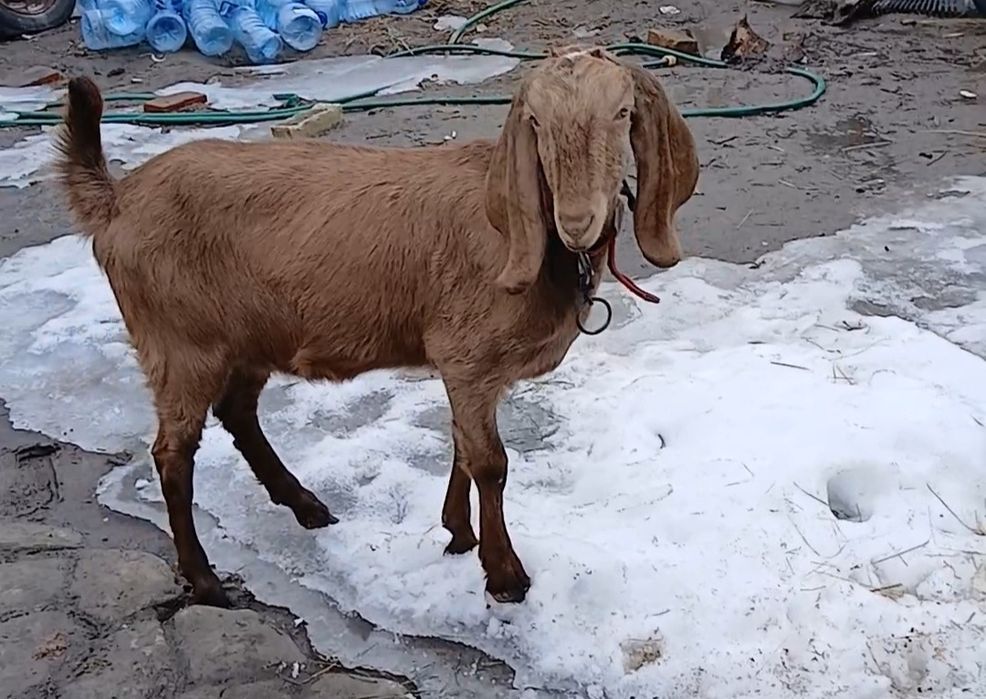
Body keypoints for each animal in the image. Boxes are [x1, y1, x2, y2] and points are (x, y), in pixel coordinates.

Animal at [56, 46, 699, 608]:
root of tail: (117, 201)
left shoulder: (466, 370)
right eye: (535, 123)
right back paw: (206, 580)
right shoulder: (466, 356)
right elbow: (490, 462)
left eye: (622, 114)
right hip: (179, 341)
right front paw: (504, 576)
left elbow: (462, 446)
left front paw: (457, 532)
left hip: (247, 335)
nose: (577, 220)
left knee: (237, 413)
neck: (530, 243)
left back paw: (306, 506)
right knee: (173, 455)